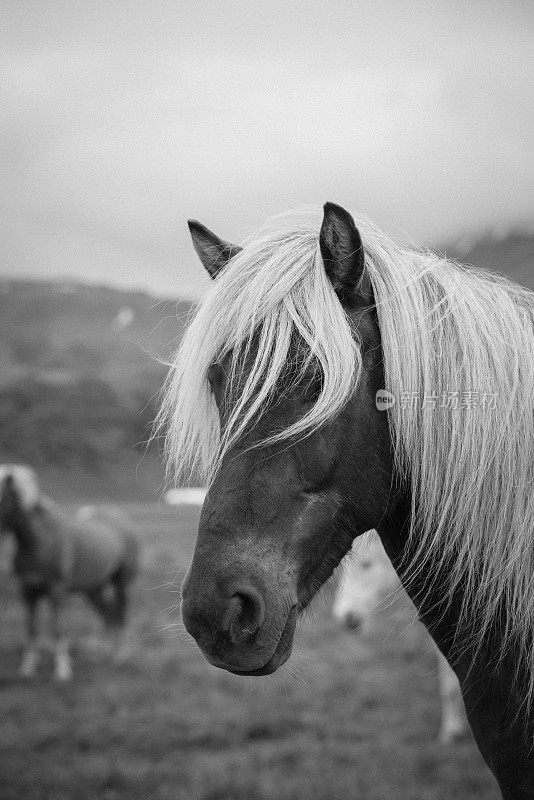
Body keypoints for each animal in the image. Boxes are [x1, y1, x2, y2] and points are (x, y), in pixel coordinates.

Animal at [0, 462, 140, 680]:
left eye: (4, 498)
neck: (39, 543)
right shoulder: (27, 591)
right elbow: (31, 629)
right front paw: (28, 668)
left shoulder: (56, 592)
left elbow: (57, 629)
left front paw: (63, 670)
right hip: (93, 589)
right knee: (108, 613)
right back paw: (103, 654)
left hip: (120, 583)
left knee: (120, 613)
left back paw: (120, 655)